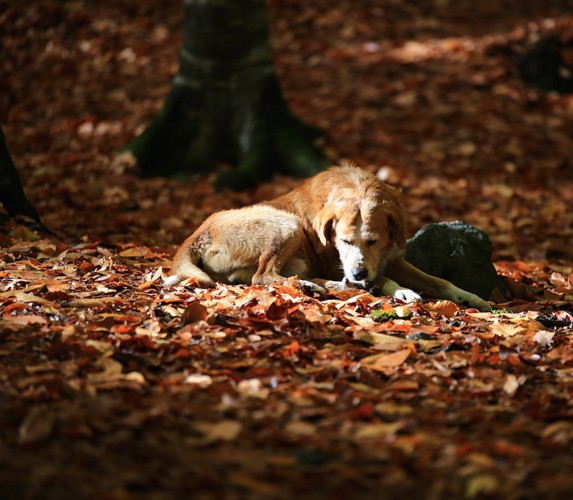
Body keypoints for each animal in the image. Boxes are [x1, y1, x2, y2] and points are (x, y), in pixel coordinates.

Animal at [166, 166, 492, 310]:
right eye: (344, 241)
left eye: (373, 240)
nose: (358, 273)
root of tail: (195, 236)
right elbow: (384, 279)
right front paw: (402, 291)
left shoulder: (392, 258)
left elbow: (440, 281)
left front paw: (470, 296)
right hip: (288, 225)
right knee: (263, 276)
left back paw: (325, 286)